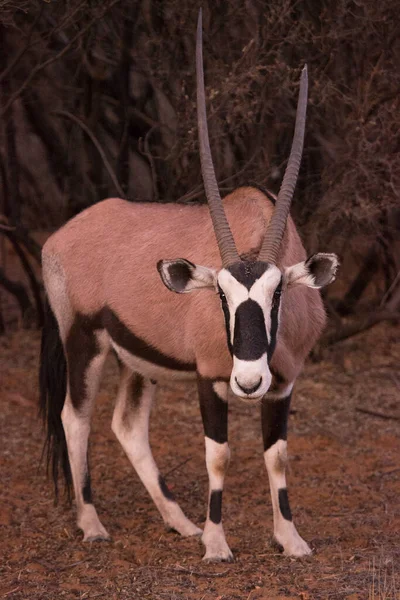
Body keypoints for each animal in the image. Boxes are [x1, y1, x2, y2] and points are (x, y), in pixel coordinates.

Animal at [39, 9, 338, 564]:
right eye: (220, 295)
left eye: (278, 295)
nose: (249, 381)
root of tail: (59, 236)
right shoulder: (209, 378)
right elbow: (218, 456)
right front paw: (218, 544)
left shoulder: (285, 382)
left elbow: (277, 456)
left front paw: (290, 539)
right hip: (84, 340)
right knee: (76, 417)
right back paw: (92, 523)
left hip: (137, 360)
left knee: (127, 425)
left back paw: (179, 522)